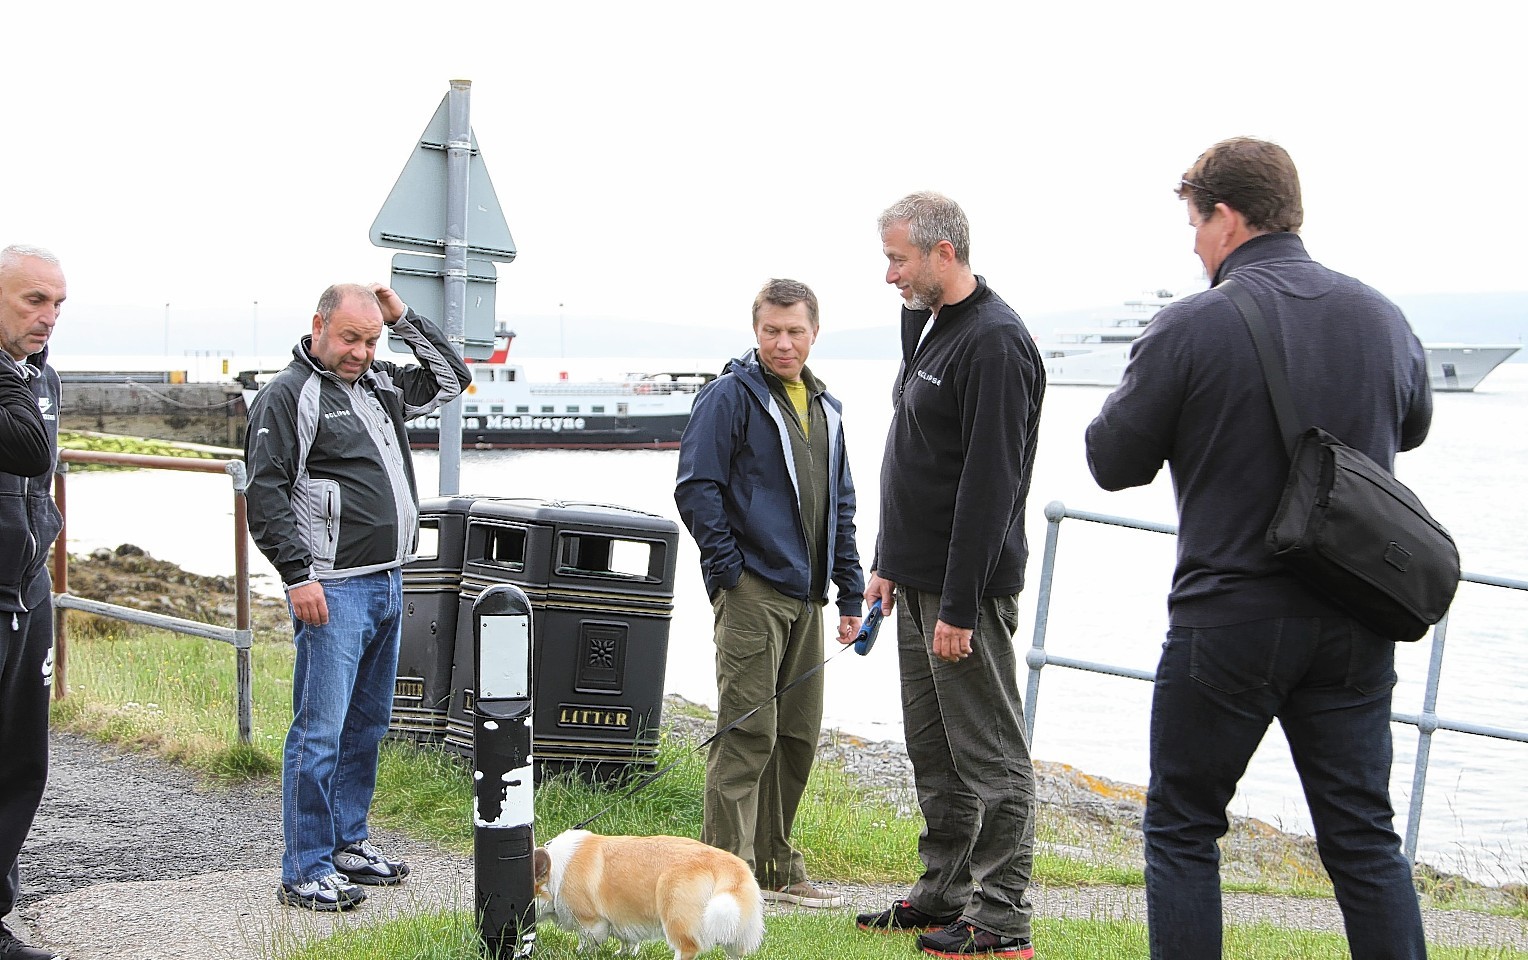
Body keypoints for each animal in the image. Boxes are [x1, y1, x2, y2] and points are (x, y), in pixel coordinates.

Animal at [531, 831, 764, 953]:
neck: (556, 874)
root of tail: (727, 863)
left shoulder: (592, 924)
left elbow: (586, 944)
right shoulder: (624, 922)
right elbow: (627, 943)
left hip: (675, 916)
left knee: (687, 948)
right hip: (733, 930)